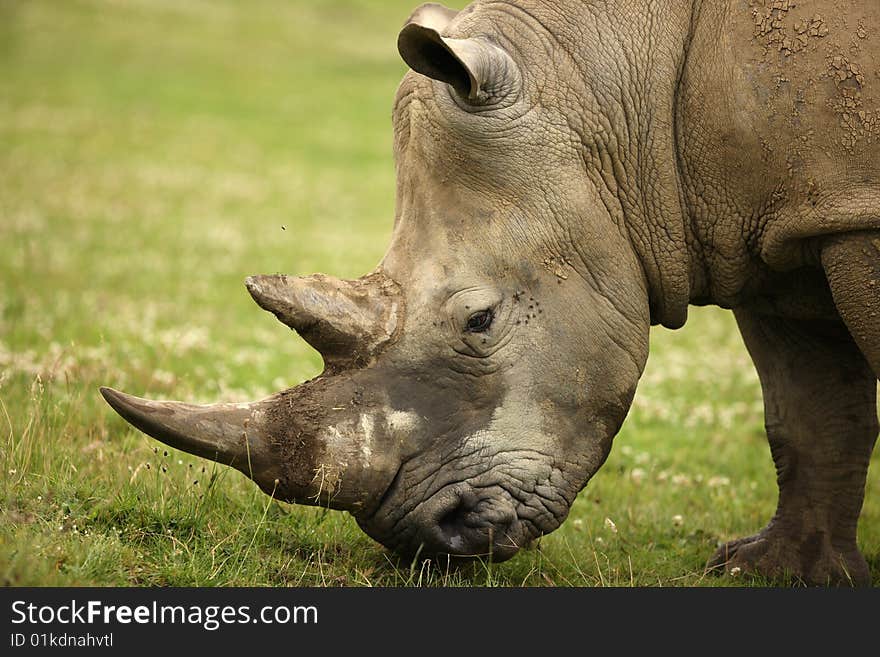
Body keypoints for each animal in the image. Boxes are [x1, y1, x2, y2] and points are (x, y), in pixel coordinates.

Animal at [101, 0, 880, 584]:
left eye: (480, 320)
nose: (429, 537)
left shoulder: (850, 212)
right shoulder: (774, 226)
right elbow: (809, 415)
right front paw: (776, 572)